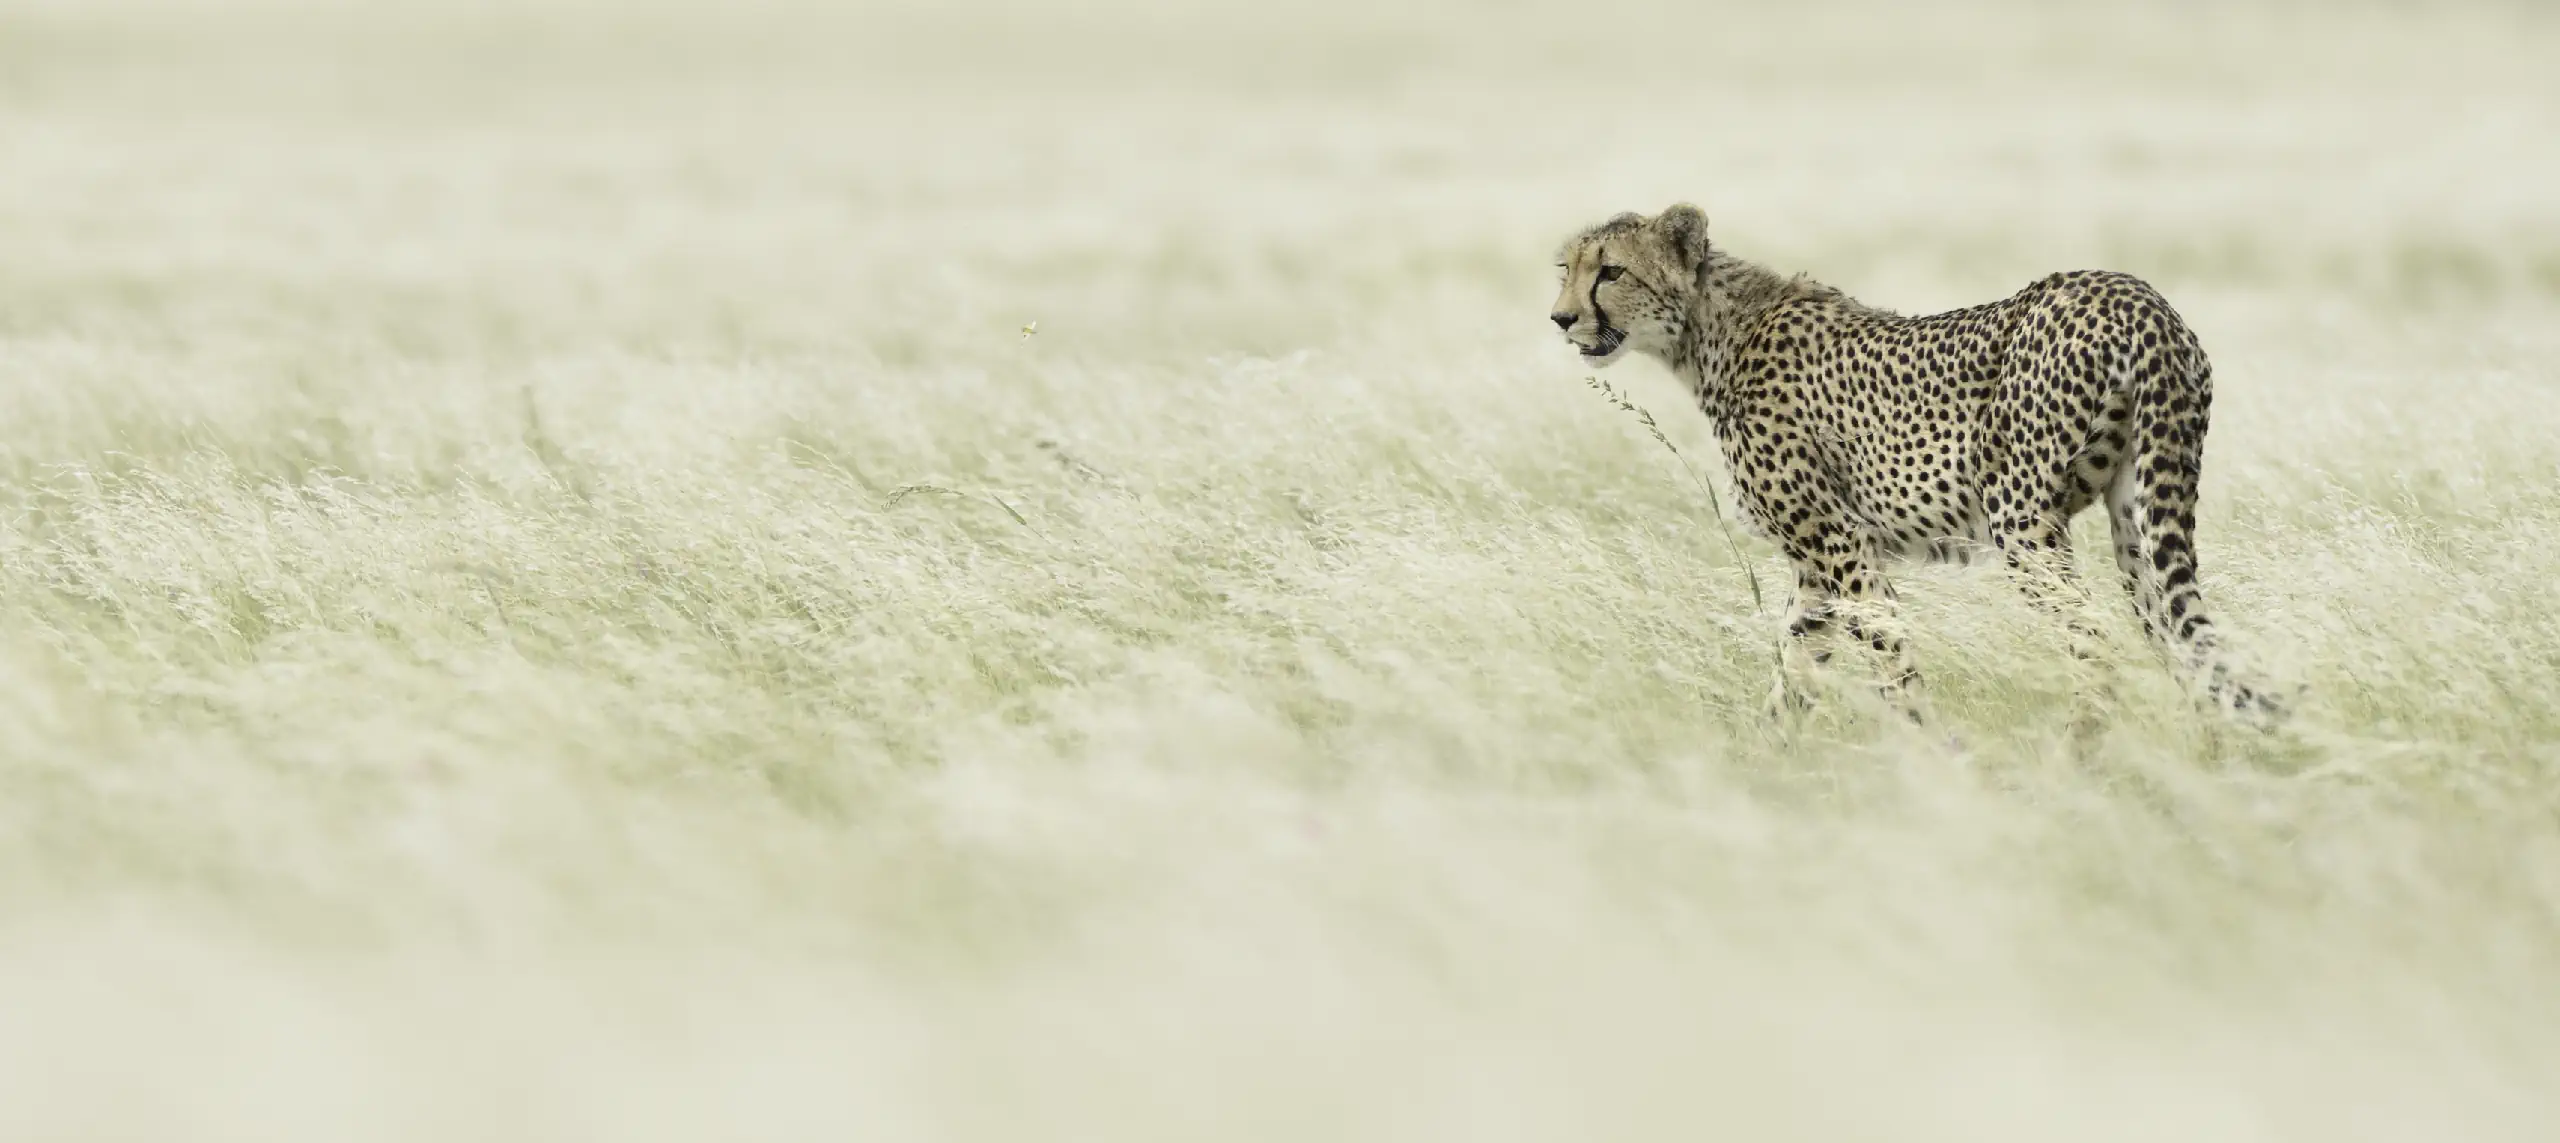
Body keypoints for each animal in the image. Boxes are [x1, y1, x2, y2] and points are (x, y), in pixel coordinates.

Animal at [1550, 203, 2285, 730]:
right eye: (1566, 269)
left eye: (1612, 272)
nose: (1561, 318)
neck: (1707, 332)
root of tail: (2136, 295)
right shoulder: (1816, 569)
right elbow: (1795, 665)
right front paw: (1768, 755)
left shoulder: (1840, 542)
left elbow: (1889, 657)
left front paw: (1930, 755)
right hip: (2141, 518)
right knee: (2183, 639)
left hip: (2022, 519)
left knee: (2095, 637)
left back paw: (2077, 758)